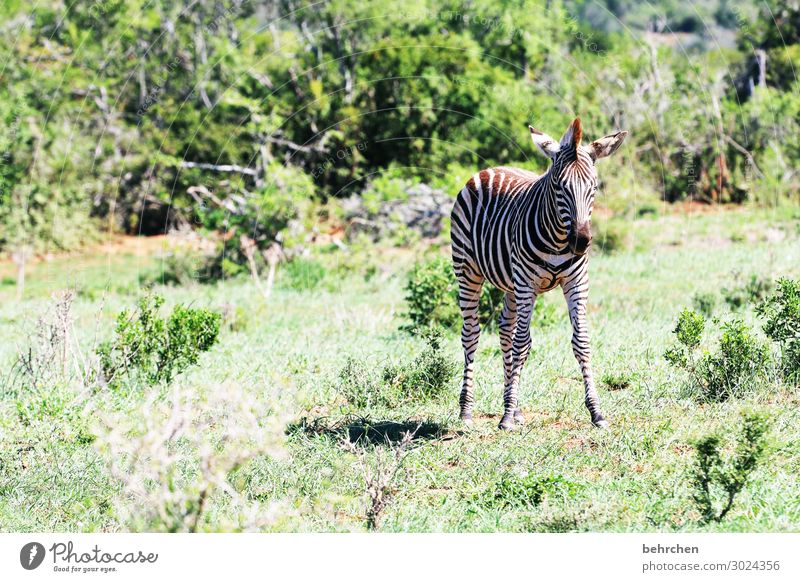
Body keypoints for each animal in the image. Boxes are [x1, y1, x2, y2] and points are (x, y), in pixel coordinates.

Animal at [450, 117, 624, 428]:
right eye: (558, 187)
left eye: (594, 187)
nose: (581, 242)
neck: (558, 238)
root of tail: (491, 168)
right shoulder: (527, 284)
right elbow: (523, 344)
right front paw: (506, 416)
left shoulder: (576, 283)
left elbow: (581, 342)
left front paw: (596, 411)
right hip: (469, 271)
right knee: (472, 334)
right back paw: (467, 410)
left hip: (510, 284)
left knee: (505, 329)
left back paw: (515, 405)